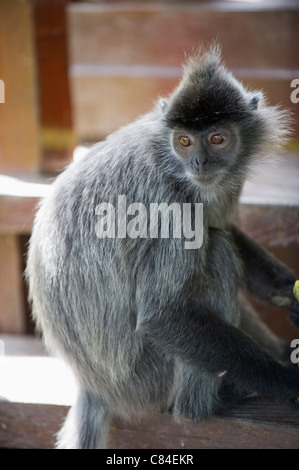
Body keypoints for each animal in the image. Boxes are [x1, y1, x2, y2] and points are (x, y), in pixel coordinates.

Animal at [25, 44, 299, 448]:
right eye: (184, 141)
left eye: (217, 138)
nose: (199, 161)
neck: (174, 163)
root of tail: (93, 386)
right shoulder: (169, 203)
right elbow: (162, 313)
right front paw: (288, 380)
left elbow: (221, 226)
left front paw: (289, 294)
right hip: (146, 380)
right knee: (217, 253)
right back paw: (209, 403)